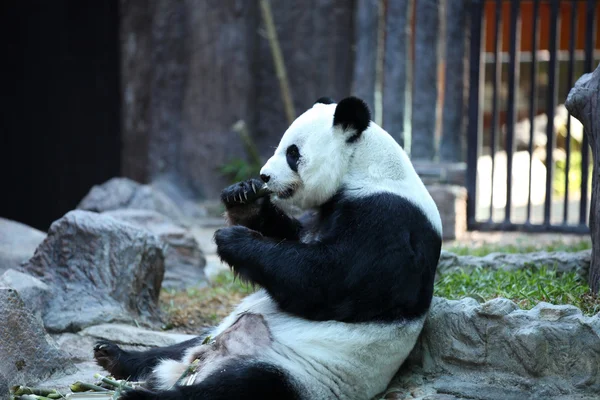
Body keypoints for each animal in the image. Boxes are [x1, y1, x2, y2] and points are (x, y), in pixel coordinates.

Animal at [92, 97, 440, 400]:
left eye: (292, 153)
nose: (264, 176)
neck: (368, 168)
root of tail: (197, 364)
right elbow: (296, 240)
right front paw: (244, 197)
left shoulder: (388, 220)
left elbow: (330, 282)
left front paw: (232, 239)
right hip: (215, 332)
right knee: (173, 349)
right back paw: (114, 356)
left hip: (298, 373)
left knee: (237, 388)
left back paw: (140, 395)